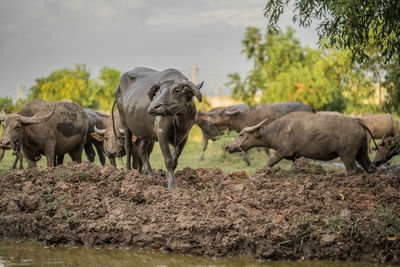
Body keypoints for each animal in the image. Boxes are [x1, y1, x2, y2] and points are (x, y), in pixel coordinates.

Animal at [227, 111, 376, 176]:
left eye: (241, 134)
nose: (227, 147)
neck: (278, 130)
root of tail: (359, 124)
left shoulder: (282, 152)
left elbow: (268, 164)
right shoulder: (294, 157)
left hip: (347, 155)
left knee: (352, 170)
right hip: (362, 153)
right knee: (370, 167)